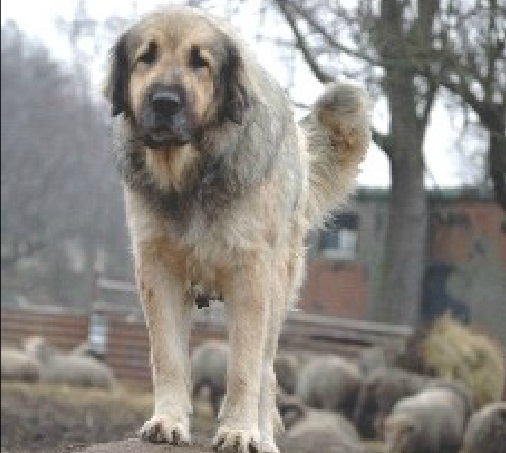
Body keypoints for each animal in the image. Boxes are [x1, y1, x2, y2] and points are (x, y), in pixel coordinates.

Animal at [105, 7, 370, 452]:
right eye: (146, 57)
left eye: (201, 62)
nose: (164, 102)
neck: (191, 176)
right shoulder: (159, 269)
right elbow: (168, 357)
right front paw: (168, 422)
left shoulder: (251, 275)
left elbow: (245, 368)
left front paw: (240, 431)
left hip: (278, 288)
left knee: (266, 370)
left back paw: (262, 436)